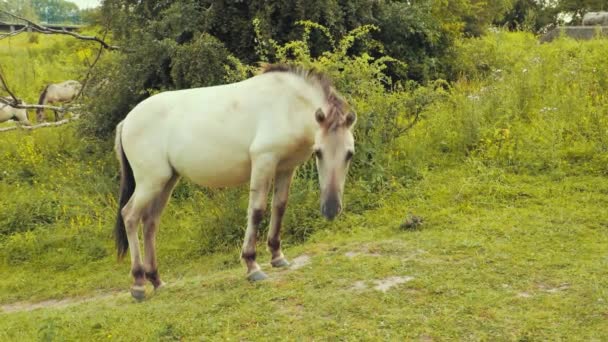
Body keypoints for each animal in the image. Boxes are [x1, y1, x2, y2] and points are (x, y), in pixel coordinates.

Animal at [114, 64, 356, 300]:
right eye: (318, 152)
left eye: (349, 154)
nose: (331, 210)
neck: (287, 104)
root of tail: (127, 121)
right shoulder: (263, 161)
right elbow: (257, 210)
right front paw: (252, 266)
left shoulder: (286, 168)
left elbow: (279, 207)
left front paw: (277, 256)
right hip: (150, 182)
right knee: (130, 216)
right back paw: (138, 284)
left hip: (166, 181)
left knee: (150, 222)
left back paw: (156, 280)